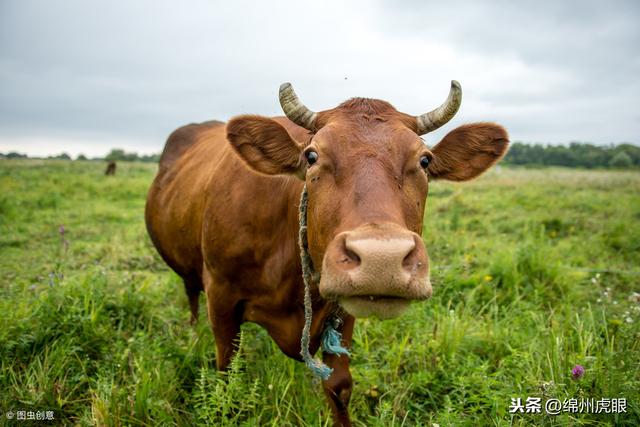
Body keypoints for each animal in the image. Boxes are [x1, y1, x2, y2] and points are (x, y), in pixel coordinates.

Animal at [146, 82, 510, 426]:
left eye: (424, 160)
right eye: (311, 156)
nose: (382, 259)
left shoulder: (342, 310)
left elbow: (339, 385)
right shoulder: (221, 299)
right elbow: (227, 378)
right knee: (191, 293)